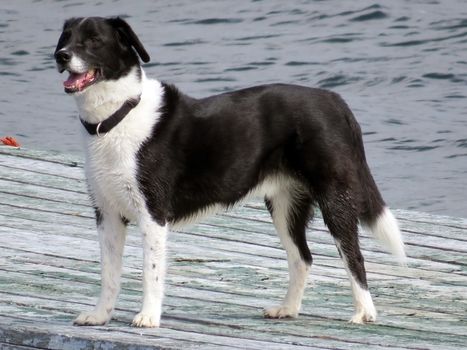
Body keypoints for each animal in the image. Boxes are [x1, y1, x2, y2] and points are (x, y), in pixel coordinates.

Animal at [54, 16, 406, 328]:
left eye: (94, 40)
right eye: (66, 37)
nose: (61, 56)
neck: (116, 116)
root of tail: (335, 101)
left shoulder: (152, 214)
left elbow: (150, 272)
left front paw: (148, 318)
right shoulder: (107, 215)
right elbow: (109, 274)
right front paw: (100, 316)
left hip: (335, 198)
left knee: (353, 256)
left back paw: (364, 313)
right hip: (285, 206)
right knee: (302, 258)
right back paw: (287, 309)